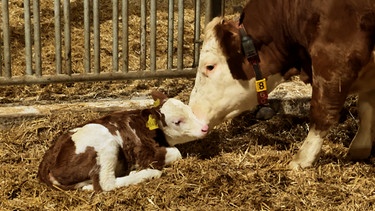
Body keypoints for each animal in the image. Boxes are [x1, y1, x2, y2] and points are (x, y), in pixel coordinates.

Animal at [38, 90, 210, 191]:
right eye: (177, 121)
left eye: (190, 110)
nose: (205, 128)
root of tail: (47, 162)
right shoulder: (143, 153)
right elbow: (176, 153)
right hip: (104, 141)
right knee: (105, 184)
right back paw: (148, 174)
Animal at [191, 0, 375, 169]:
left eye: (210, 66)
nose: (192, 111)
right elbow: (366, 107)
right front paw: (361, 147)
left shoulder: (335, 57)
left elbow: (322, 111)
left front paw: (302, 159)